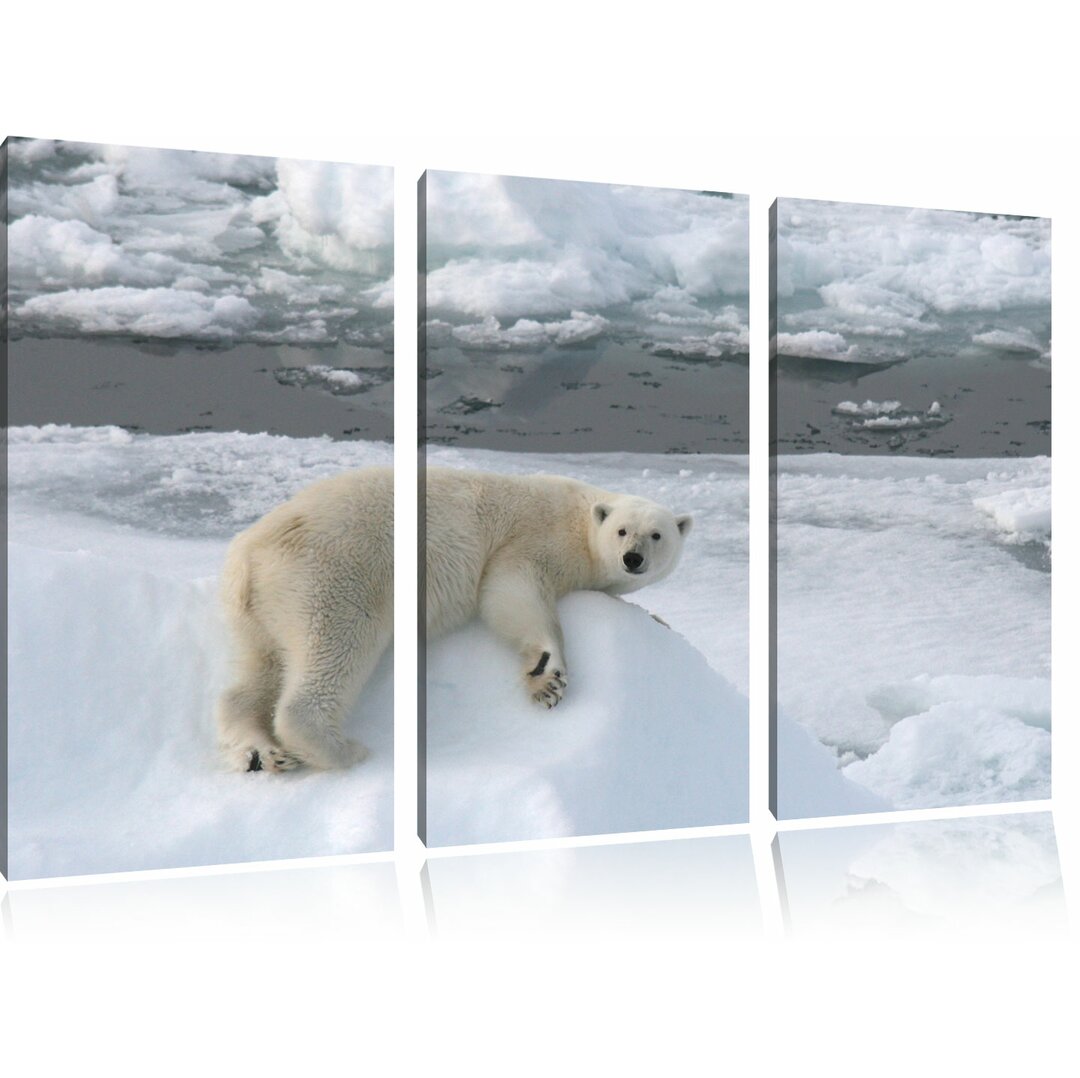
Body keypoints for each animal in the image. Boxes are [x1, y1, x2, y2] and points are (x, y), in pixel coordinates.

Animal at [214, 468, 695, 773]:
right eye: (622, 531)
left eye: (657, 535)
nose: (633, 559)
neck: (580, 517)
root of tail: (248, 552)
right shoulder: (535, 536)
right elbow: (510, 589)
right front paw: (548, 677)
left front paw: (659, 619)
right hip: (334, 574)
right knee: (335, 647)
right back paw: (343, 750)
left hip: (261, 608)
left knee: (257, 672)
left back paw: (261, 754)